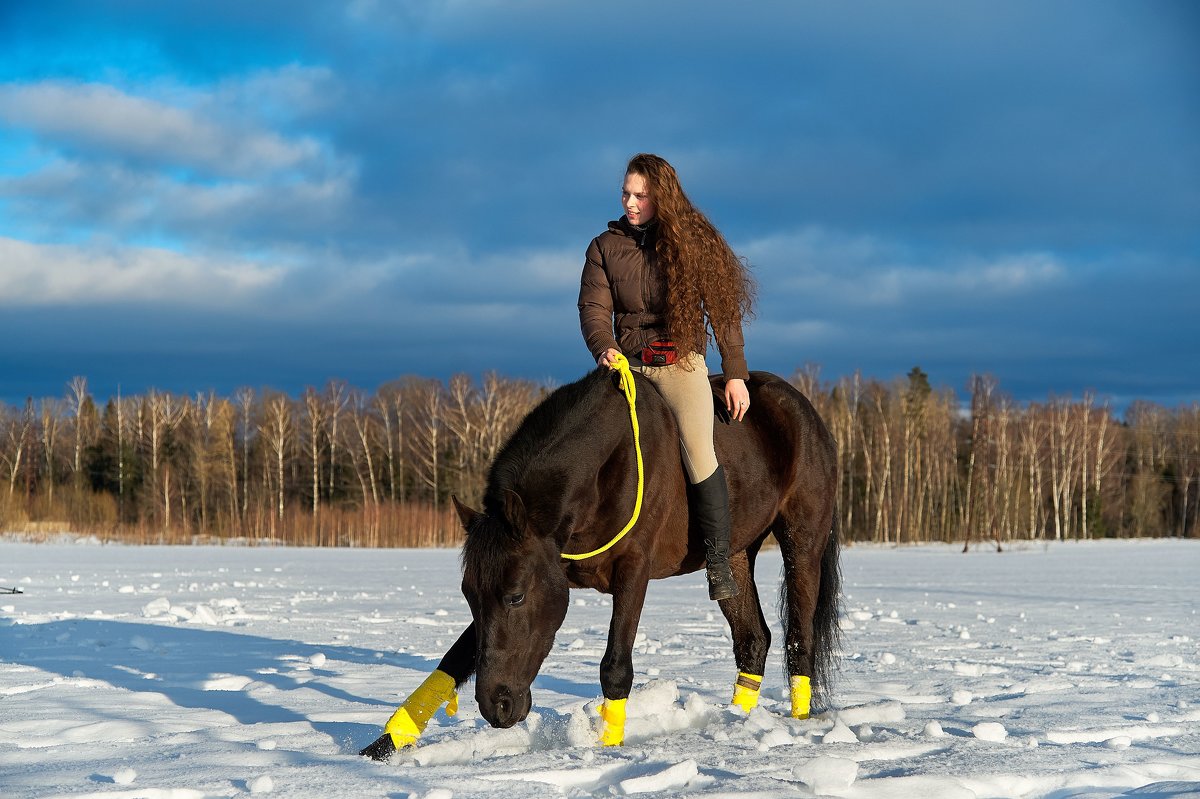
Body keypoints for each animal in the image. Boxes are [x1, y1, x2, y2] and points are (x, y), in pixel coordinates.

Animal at [360, 364, 840, 758]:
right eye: (468, 596)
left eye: (516, 597)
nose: (497, 706)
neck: (605, 465)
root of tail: (805, 411)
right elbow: (452, 661)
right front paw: (384, 744)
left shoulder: (633, 571)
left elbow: (615, 667)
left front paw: (609, 747)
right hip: (735, 555)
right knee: (753, 640)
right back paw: (738, 721)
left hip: (802, 543)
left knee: (799, 639)